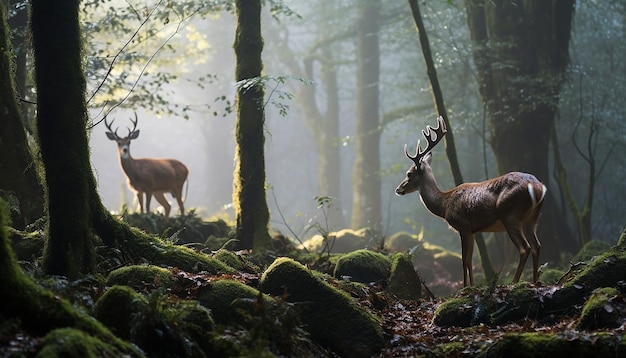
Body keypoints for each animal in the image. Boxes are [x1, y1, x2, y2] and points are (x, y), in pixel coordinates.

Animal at [394, 116, 544, 286]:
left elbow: (464, 260)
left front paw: (465, 287)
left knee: (525, 248)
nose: (398, 189)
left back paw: (514, 282)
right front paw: (471, 286)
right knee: (537, 245)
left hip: (511, 215)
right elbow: (470, 260)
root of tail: (537, 187)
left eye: (409, 173)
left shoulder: (463, 225)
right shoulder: (472, 231)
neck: (444, 204)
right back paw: (534, 281)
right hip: (532, 218)